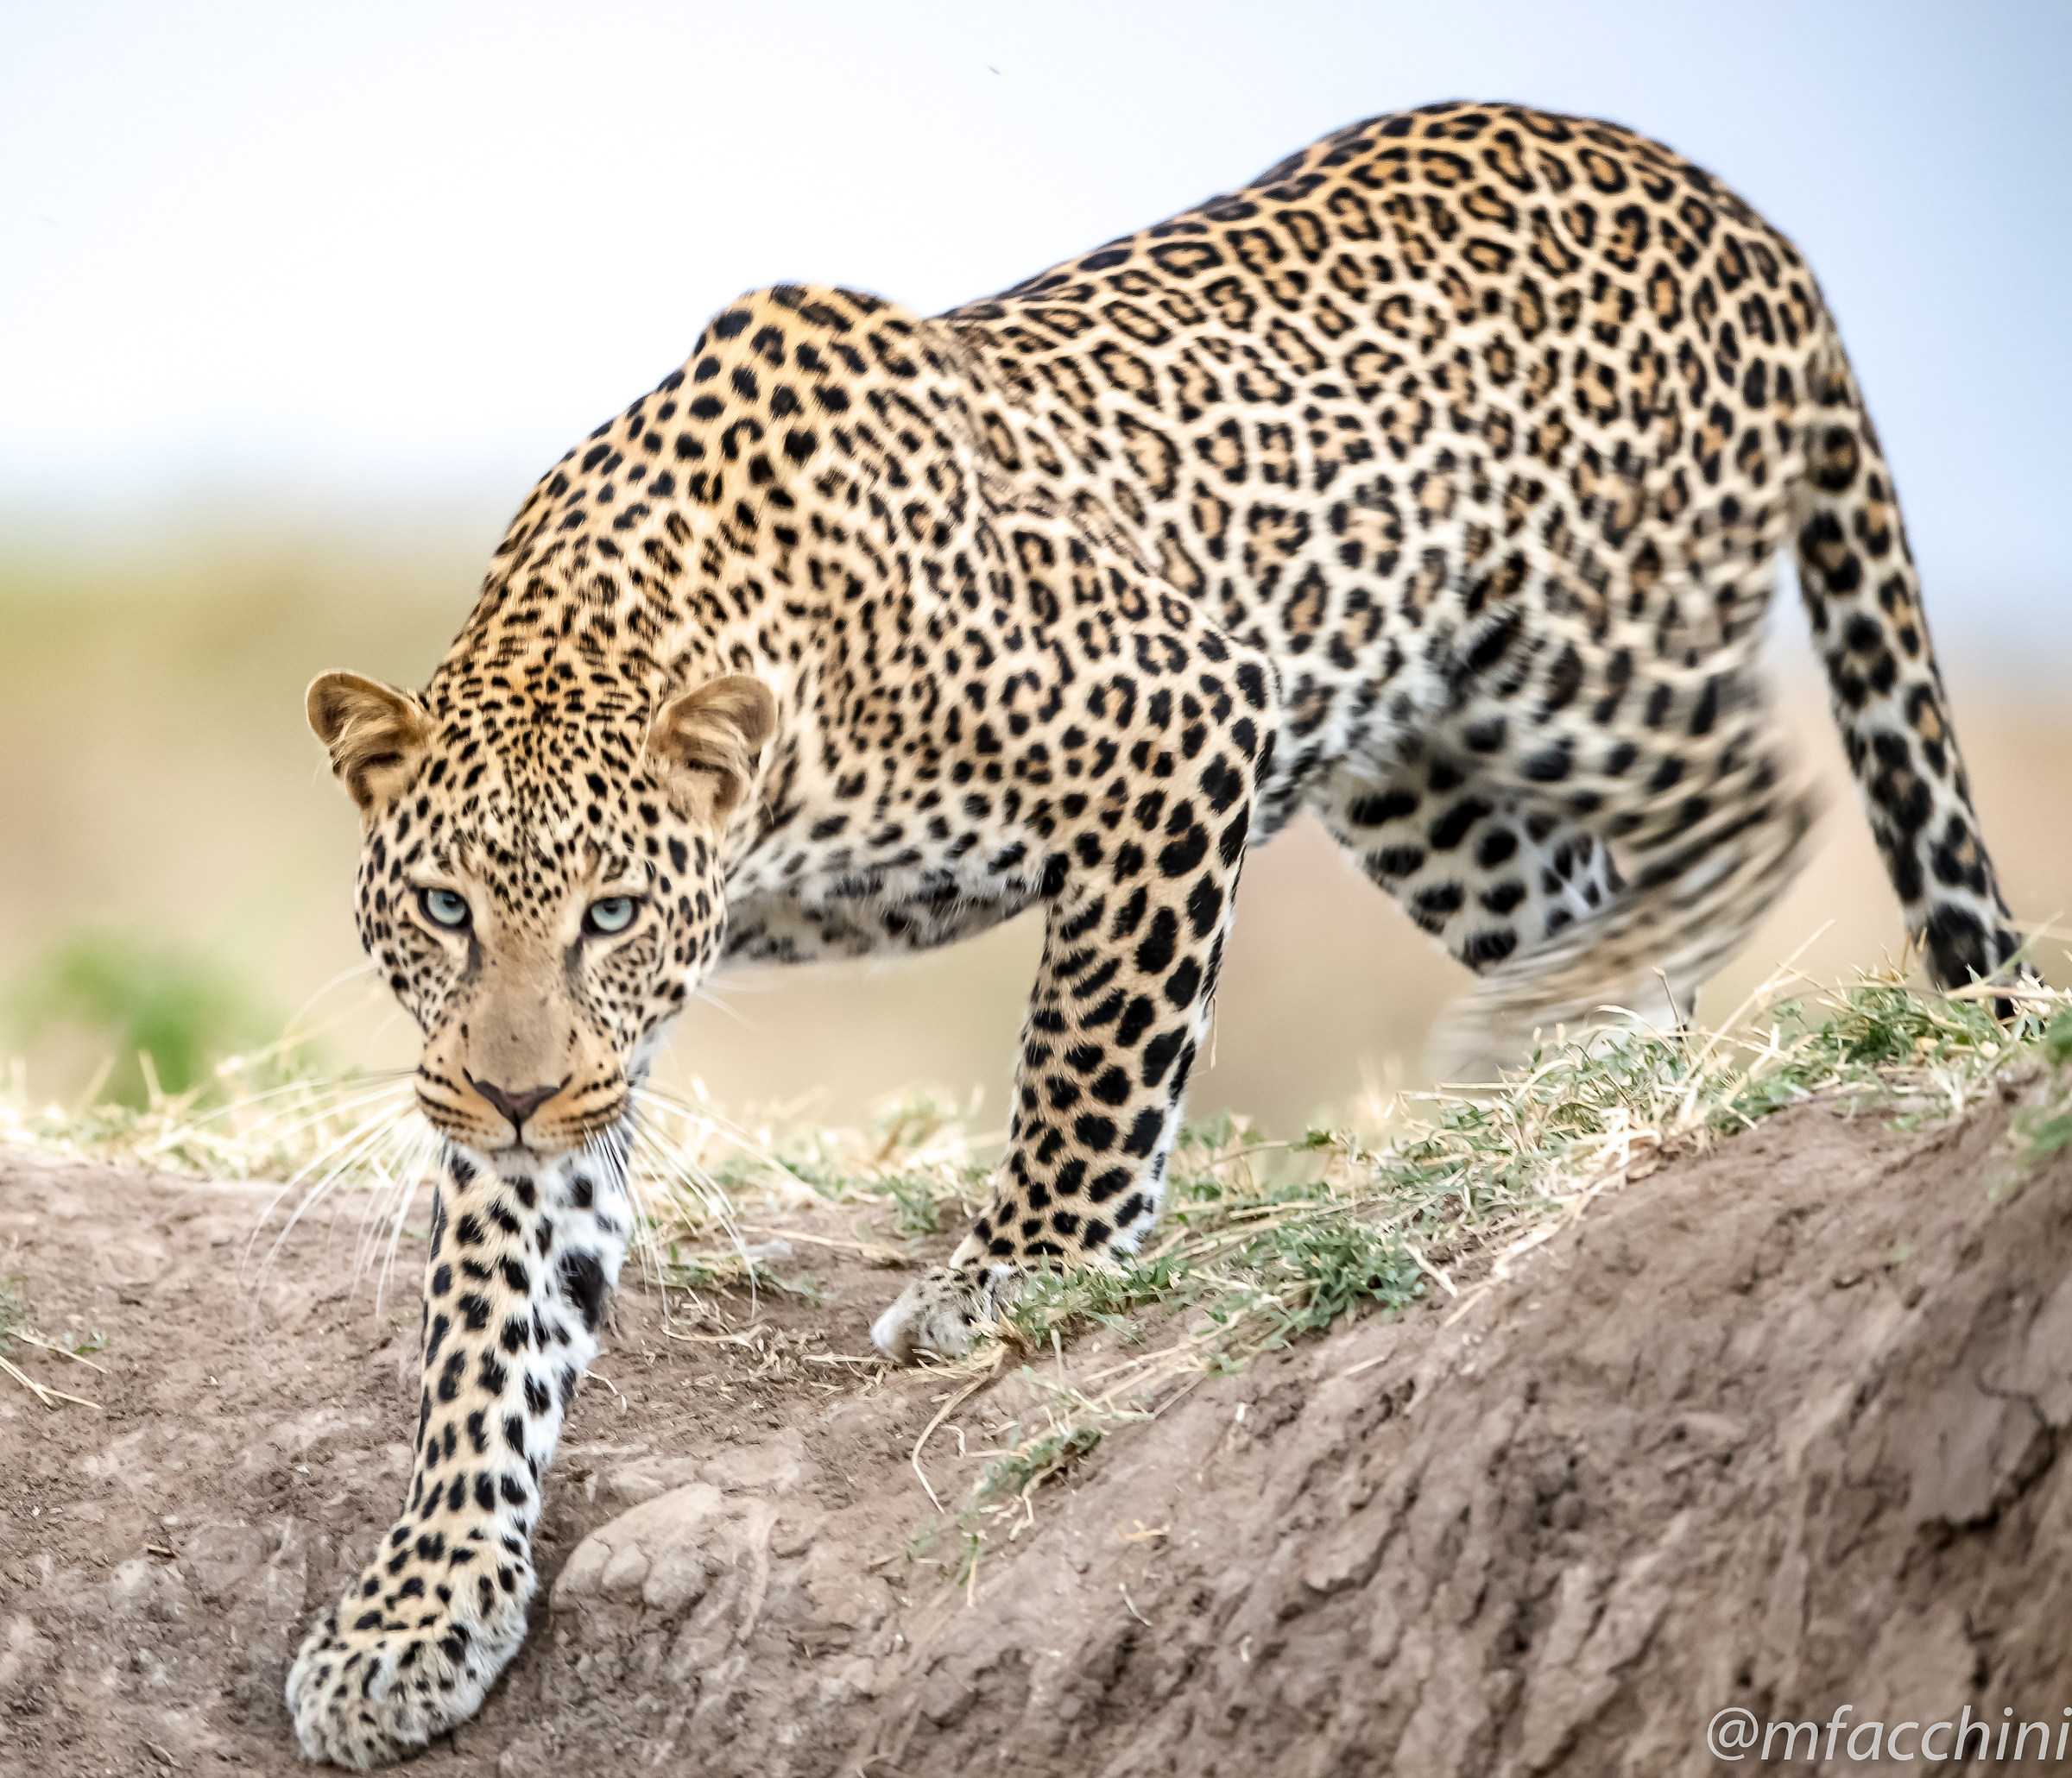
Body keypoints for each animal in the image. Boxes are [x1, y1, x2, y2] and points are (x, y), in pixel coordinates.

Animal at [284, 101, 2026, 1765]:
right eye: (446, 909)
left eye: (613, 914)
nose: (511, 1094)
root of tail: (1735, 209)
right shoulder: (550, 1082)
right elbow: (490, 1327)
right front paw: (420, 1613)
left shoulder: (1177, 726)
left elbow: (1090, 1056)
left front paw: (1026, 1269)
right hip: (1420, 771)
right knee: (1604, 886)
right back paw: (1583, 1077)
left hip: (1574, 651)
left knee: (1757, 798)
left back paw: (1551, 1027)